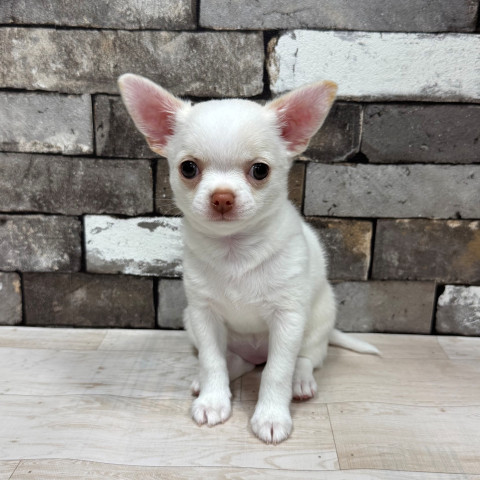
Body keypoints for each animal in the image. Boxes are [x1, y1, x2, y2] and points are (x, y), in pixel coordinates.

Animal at [118, 74, 379, 444]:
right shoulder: (204, 315)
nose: (222, 197)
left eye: (259, 170)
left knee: (305, 358)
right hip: (193, 322)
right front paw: (213, 400)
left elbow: (276, 372)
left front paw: (271, 416)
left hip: (318, 322)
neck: (235, 249)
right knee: (234, 362)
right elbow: (212, 361)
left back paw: (301, 381)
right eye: (188, 168)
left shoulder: (287, 319)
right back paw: (211, 381)